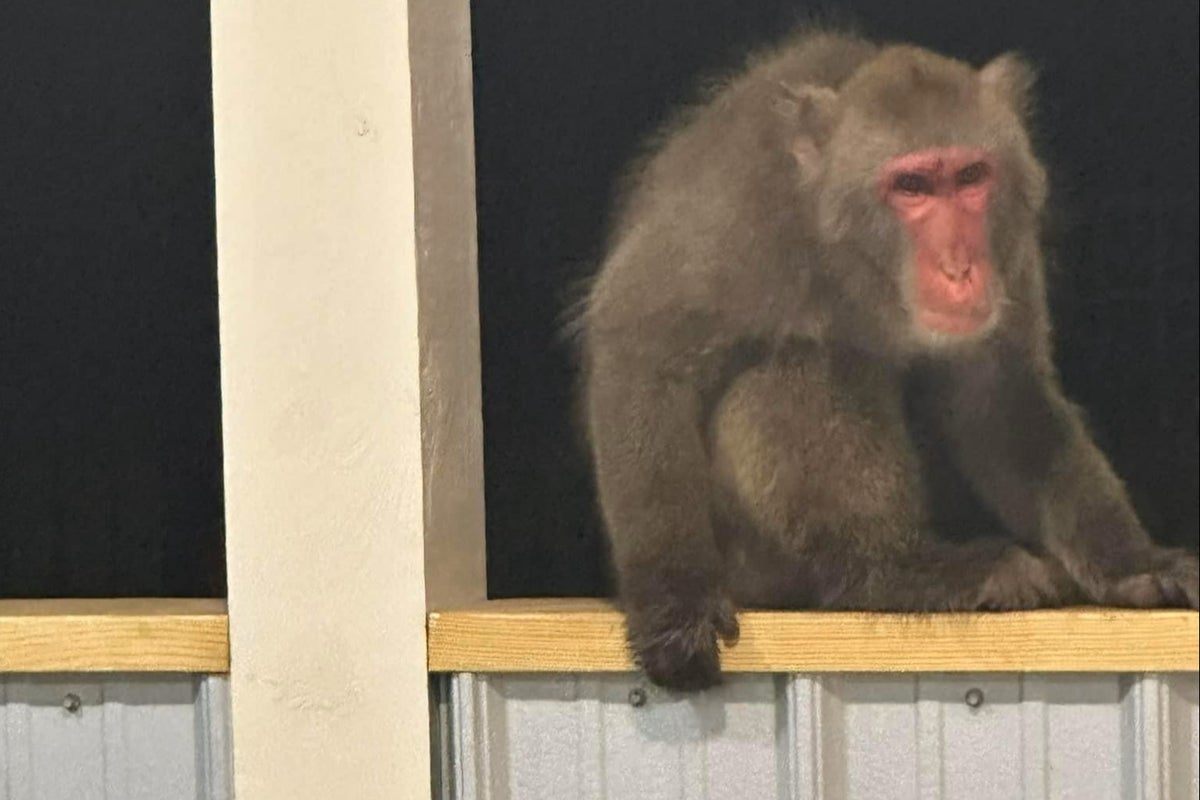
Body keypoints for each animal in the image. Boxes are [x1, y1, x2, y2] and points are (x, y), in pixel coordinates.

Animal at [573, 30, 1200, 692]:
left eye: (971, 176)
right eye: (912, 186)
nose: (959, 268)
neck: (859, 266)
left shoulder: (1010, 247)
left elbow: (1002, 397)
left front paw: (1132, 561)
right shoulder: (734, 211)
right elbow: (640, 347)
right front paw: (673, 602)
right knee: (804, 365)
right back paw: (892, 571)